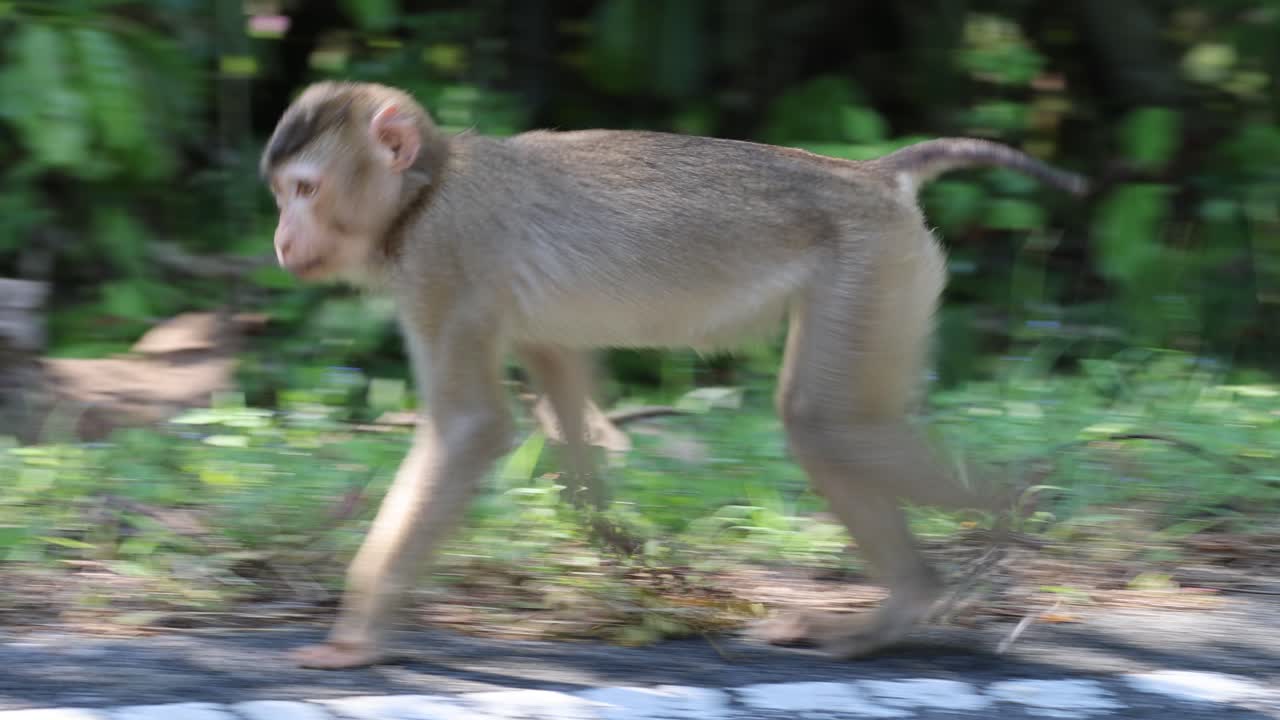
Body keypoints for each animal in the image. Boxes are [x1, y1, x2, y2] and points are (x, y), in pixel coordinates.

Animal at [260, 81, 1087, 669]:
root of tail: (872, 175)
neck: (424, 190)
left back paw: (1007, 513)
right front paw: (607, 525)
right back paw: (908, 604)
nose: (280, 238)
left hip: (873, 264)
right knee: (827, 425)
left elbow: (471, 428)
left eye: (305, 190)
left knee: (824, 423)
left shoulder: (441, 259)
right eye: (282, 194)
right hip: (889, 268)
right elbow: (558, 368)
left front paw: (358, 634)